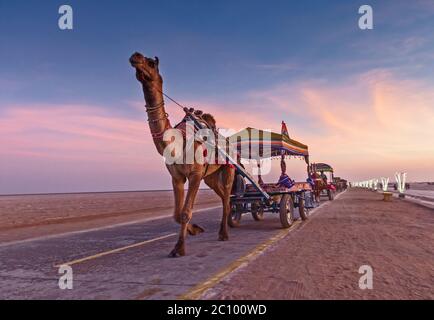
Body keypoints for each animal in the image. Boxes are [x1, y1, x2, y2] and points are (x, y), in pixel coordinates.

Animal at [129, 52, 236, 258]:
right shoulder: (176, 176)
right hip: (209, 176)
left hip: (229, 169)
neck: (177, 144)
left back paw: (225, 234)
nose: (135, 56)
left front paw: (179, 248)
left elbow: (186, 212)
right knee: (221, 195)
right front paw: (195, 230)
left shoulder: (195, 174)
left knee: (227, 198)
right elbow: (177, 214)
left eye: (151, 63)